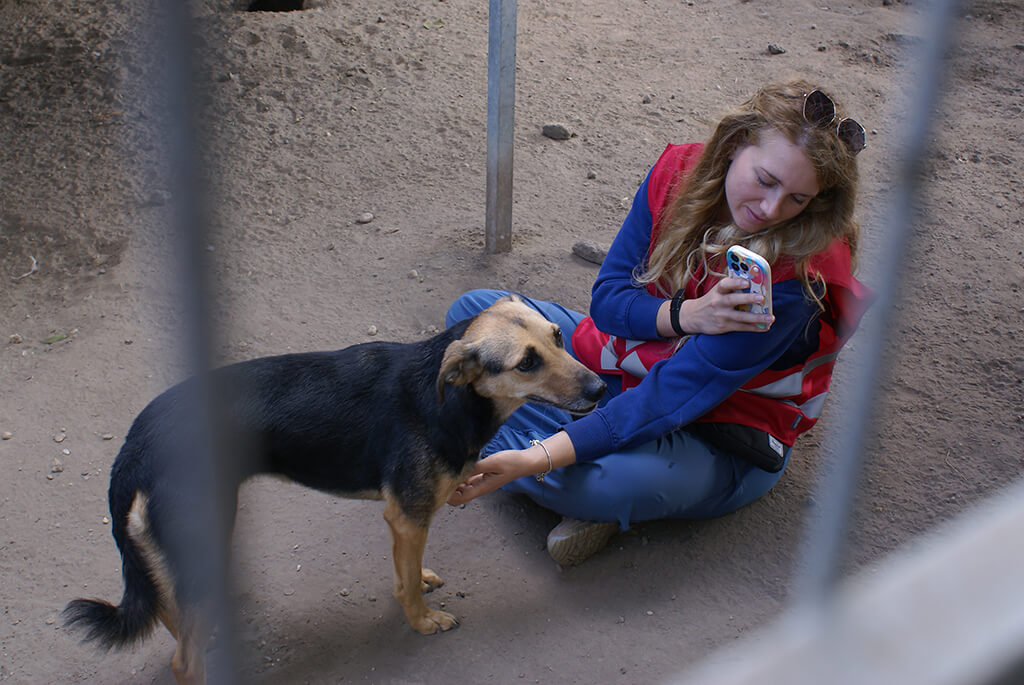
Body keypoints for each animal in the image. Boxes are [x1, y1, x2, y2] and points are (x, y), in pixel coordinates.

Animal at [63, 294, 605, 684]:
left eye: (559, 336)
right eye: (526, 363)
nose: (601, 389)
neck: (449, 396)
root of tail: (136, 443)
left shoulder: (404, 521)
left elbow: (407, 572)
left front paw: (421, 580)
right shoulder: (408, 516)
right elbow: (406, 588)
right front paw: (423, 622)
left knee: (173, 614)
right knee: (182, 659)